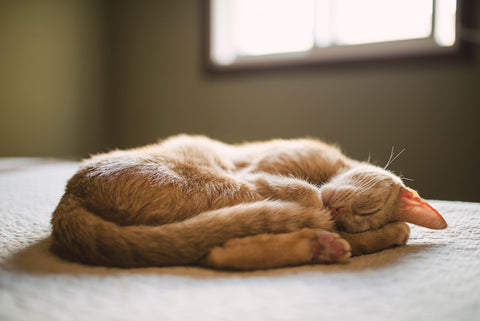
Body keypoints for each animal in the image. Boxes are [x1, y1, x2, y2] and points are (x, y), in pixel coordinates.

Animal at [49, 134, 446, 268]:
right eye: (370, 209)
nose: (340, 212)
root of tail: (70, 193)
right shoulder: (259, 171)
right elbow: (304, 191)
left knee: (217, 252)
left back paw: (322, 247)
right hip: (218, 186)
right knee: (218, 251)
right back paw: (322, 242)